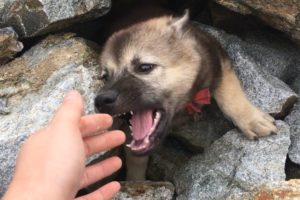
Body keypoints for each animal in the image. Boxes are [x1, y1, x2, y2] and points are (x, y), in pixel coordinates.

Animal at [95, 10, 278, 180]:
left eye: (144, 67)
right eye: (105, 77)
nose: (100, 101)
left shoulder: (217, 56)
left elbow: (229, 92)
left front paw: (252, 119)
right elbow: (136, 160)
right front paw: (136, 182)